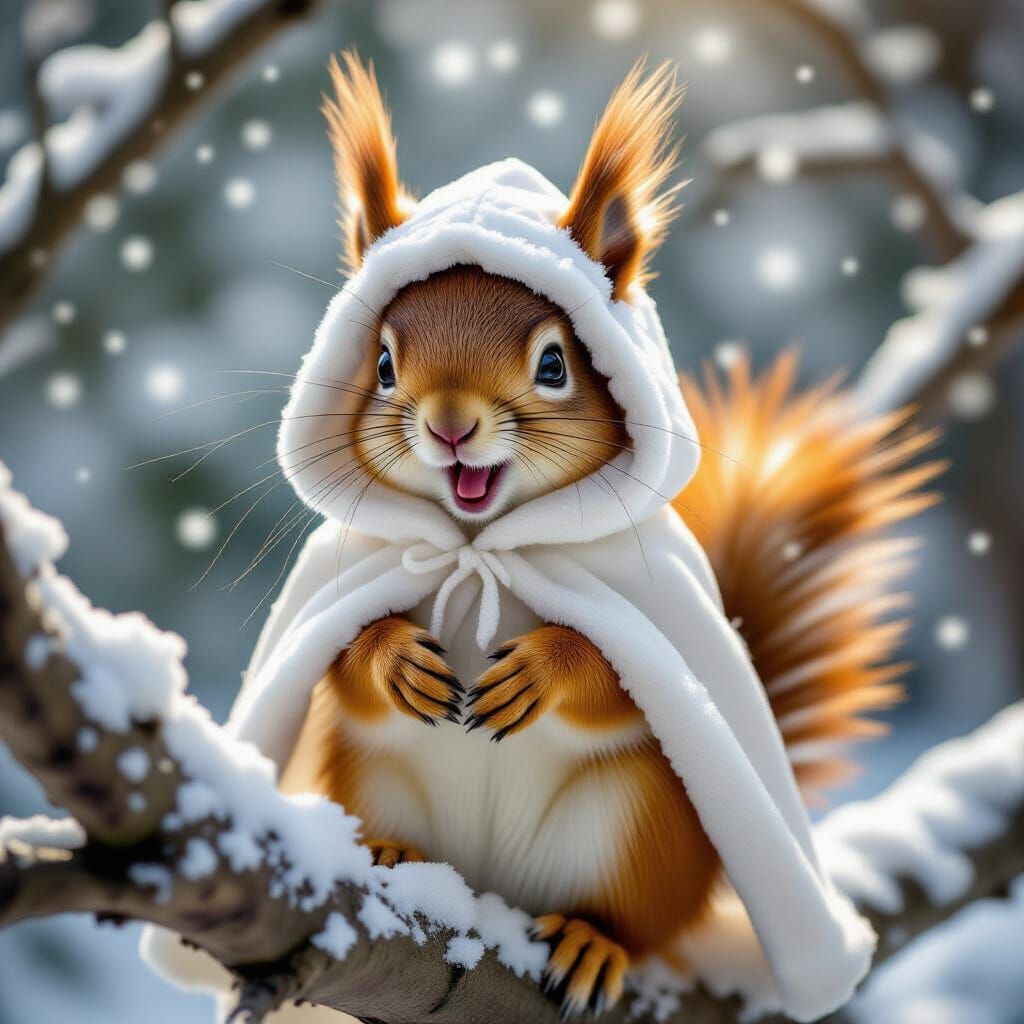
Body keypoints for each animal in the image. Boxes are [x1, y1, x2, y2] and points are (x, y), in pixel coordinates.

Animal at [277, 53, 941, 1017]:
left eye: (555, 364)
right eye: (386, 365)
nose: (449, 425)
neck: (481, 548)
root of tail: (492, 888)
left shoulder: (646, 603)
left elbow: (623, 685)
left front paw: (543, 670)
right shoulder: (343, 577)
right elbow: (342, 664)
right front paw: (395, 657)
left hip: (634, 836)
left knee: (628, 915)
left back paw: (593, 940)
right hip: (372, 781)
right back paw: (395, 857)